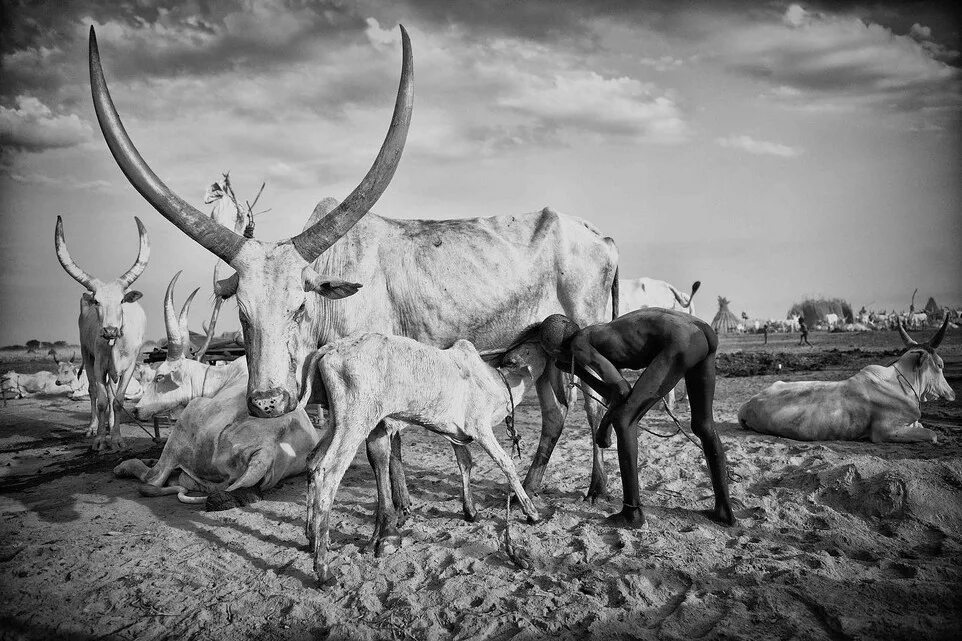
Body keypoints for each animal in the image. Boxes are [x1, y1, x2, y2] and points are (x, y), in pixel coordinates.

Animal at [53, 215, 148, 450]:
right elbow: (103, 400)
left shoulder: (129, 366)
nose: (110, 330)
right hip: (86, 354)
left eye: (122, 300)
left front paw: (117, 438)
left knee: (111, 394)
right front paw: (99, 439)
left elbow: (118, 400)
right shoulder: (98, 364)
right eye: (97, 301)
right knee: (94, 392)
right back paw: (94, 427)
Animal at [116, 272, 318, 502]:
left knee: (154, 478)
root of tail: (266, 450)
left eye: (159, 377)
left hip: (188, 419)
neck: (223, 377)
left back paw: (125, 466)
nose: (136, 410)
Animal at [304, 332, 544, 576]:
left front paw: (470, 510)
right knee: (329, 472)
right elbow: (506, 463)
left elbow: (465, 462)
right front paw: (531, 512)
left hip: (338, 421)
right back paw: (322, 567)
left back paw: (314, 538)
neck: (497, 382)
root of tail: (333, 348)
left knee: (313, 462)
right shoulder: (480, 427)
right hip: (357, 420)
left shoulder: (455, 433)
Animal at [736, 314, 952, 442]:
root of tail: (746, 405)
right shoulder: (886, 431)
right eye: (940, 365)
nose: (952, 393)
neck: (902, 384)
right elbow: (932, 435)